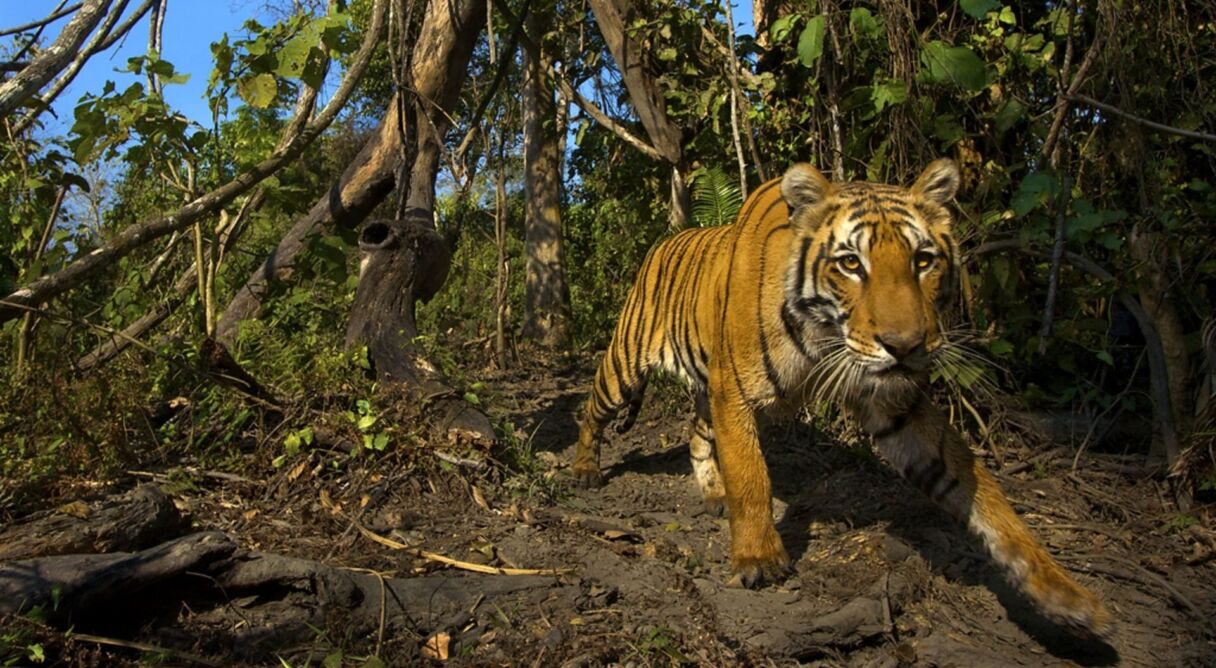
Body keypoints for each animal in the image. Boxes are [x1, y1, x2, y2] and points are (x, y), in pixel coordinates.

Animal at [570, 160, 1111, 636]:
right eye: (851, 264)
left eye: (923, 261)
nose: (905, 346)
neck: (826, 337)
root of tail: (662, 243)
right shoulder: (735, 392)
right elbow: (751, 476)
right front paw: (759, 558)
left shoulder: (892, 403)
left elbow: (978, 488)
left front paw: (1062, 594)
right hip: (627, 364)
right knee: (592, 409)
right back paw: (585, 470)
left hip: (703, 388)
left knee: (696, 434)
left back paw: (712, 494)